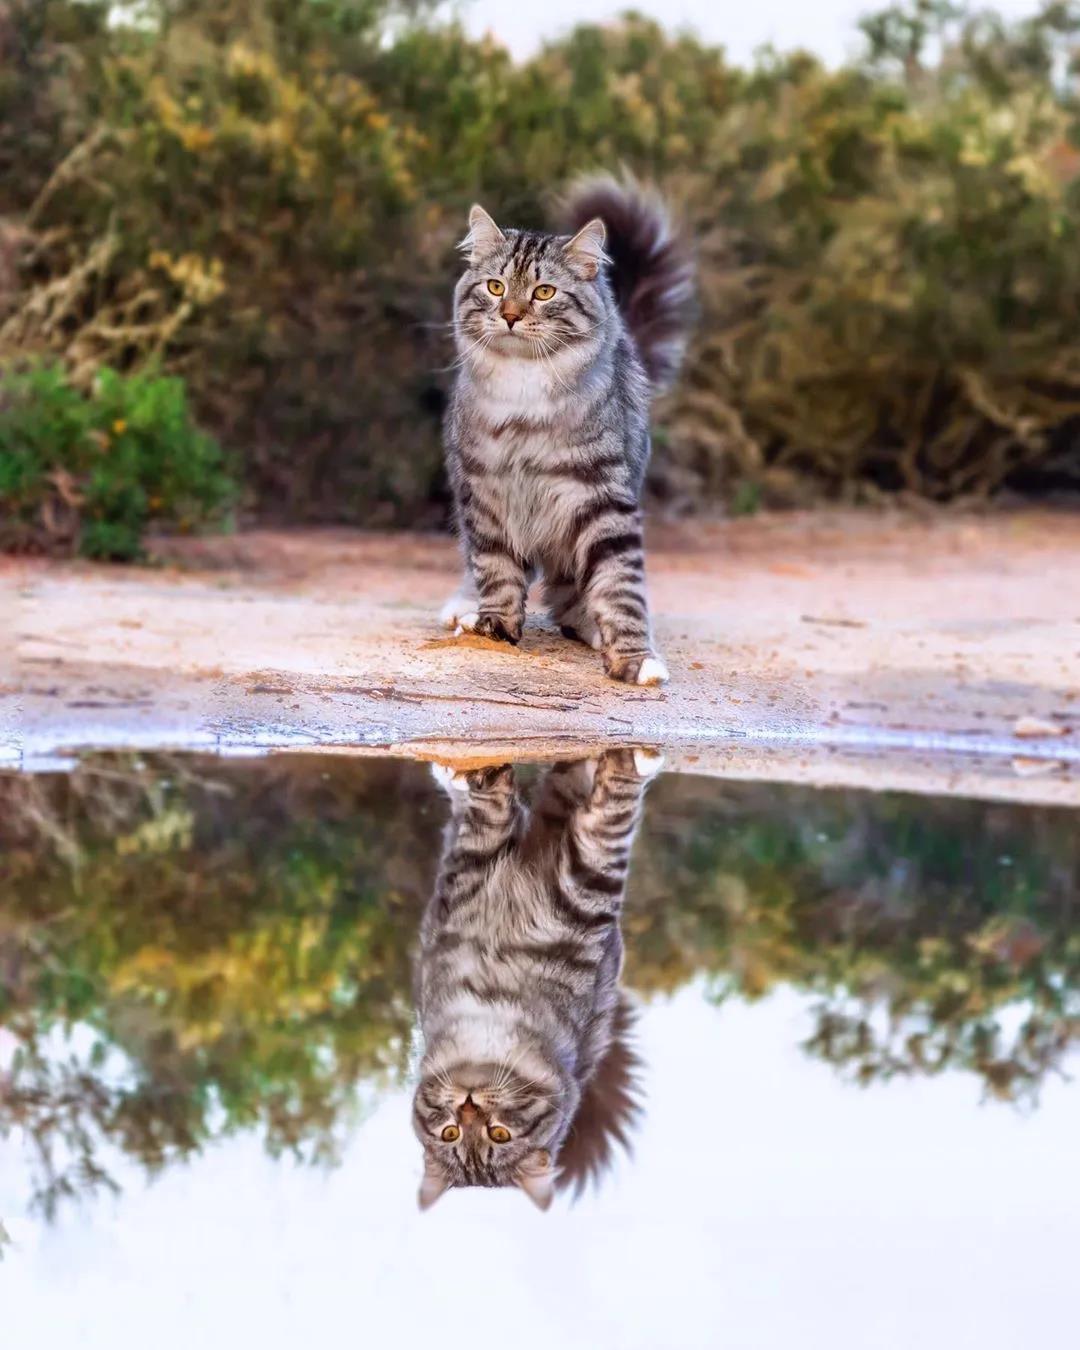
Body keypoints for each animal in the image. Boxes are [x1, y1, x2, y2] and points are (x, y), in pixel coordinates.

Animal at [413, 750, 661, 1215]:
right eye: (451, 1133)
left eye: (499, 1134)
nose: (468, 1106)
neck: (489, 1015)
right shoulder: (472, 877)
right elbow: (492, 821)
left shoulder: (580, 889)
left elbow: (608, 817)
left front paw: (630, 764)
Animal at [437, 176, 691, 685]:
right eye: (496, 286)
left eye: (544, 292)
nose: (511, 315)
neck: (524, 394)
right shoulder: (485, 491)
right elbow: (495, 569)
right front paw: (494, 626)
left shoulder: (602, 498)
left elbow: (620, 585)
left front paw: (634, 658)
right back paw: (465, 608)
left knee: (570, 597)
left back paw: (588, 625)